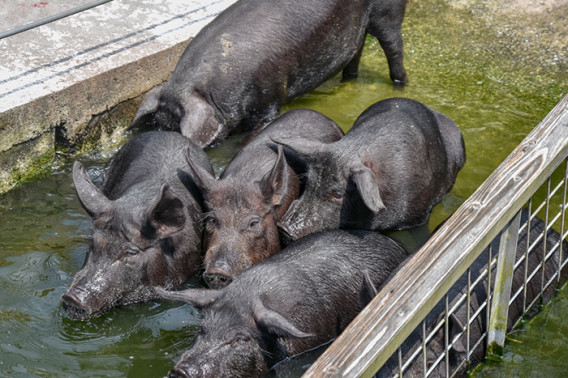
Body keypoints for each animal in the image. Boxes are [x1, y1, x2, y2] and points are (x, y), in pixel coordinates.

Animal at [131, 0, 408, 146]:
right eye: (158, 125)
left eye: (176, 129)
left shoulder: (270, 96)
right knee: (355, 54)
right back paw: (347, 82)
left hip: (388, 12)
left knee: (394, 47)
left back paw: (400, 86)